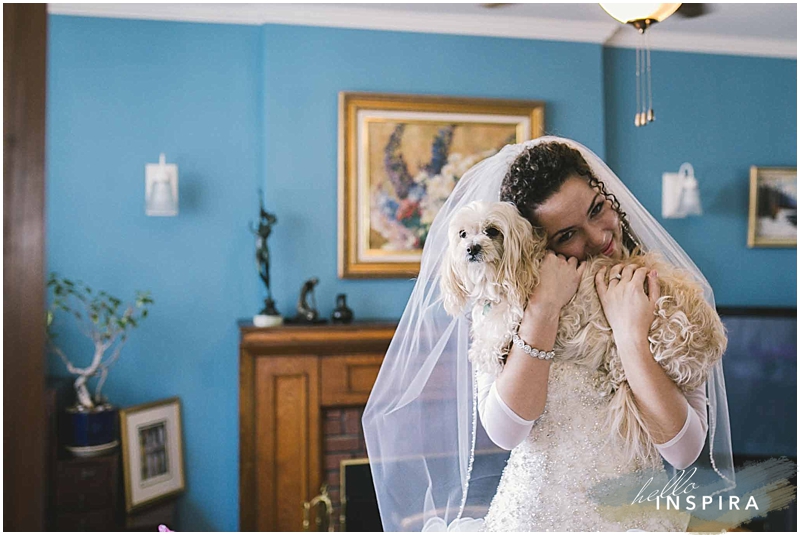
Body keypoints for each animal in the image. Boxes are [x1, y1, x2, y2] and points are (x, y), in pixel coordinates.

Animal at [440, 201, 728, 468]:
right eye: (463, 234)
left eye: (492, 231)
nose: (472, 248)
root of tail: (712, 345)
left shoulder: (515, 312)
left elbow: (493, 336)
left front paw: (485, 353)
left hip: (655, 330)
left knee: (623, 370)